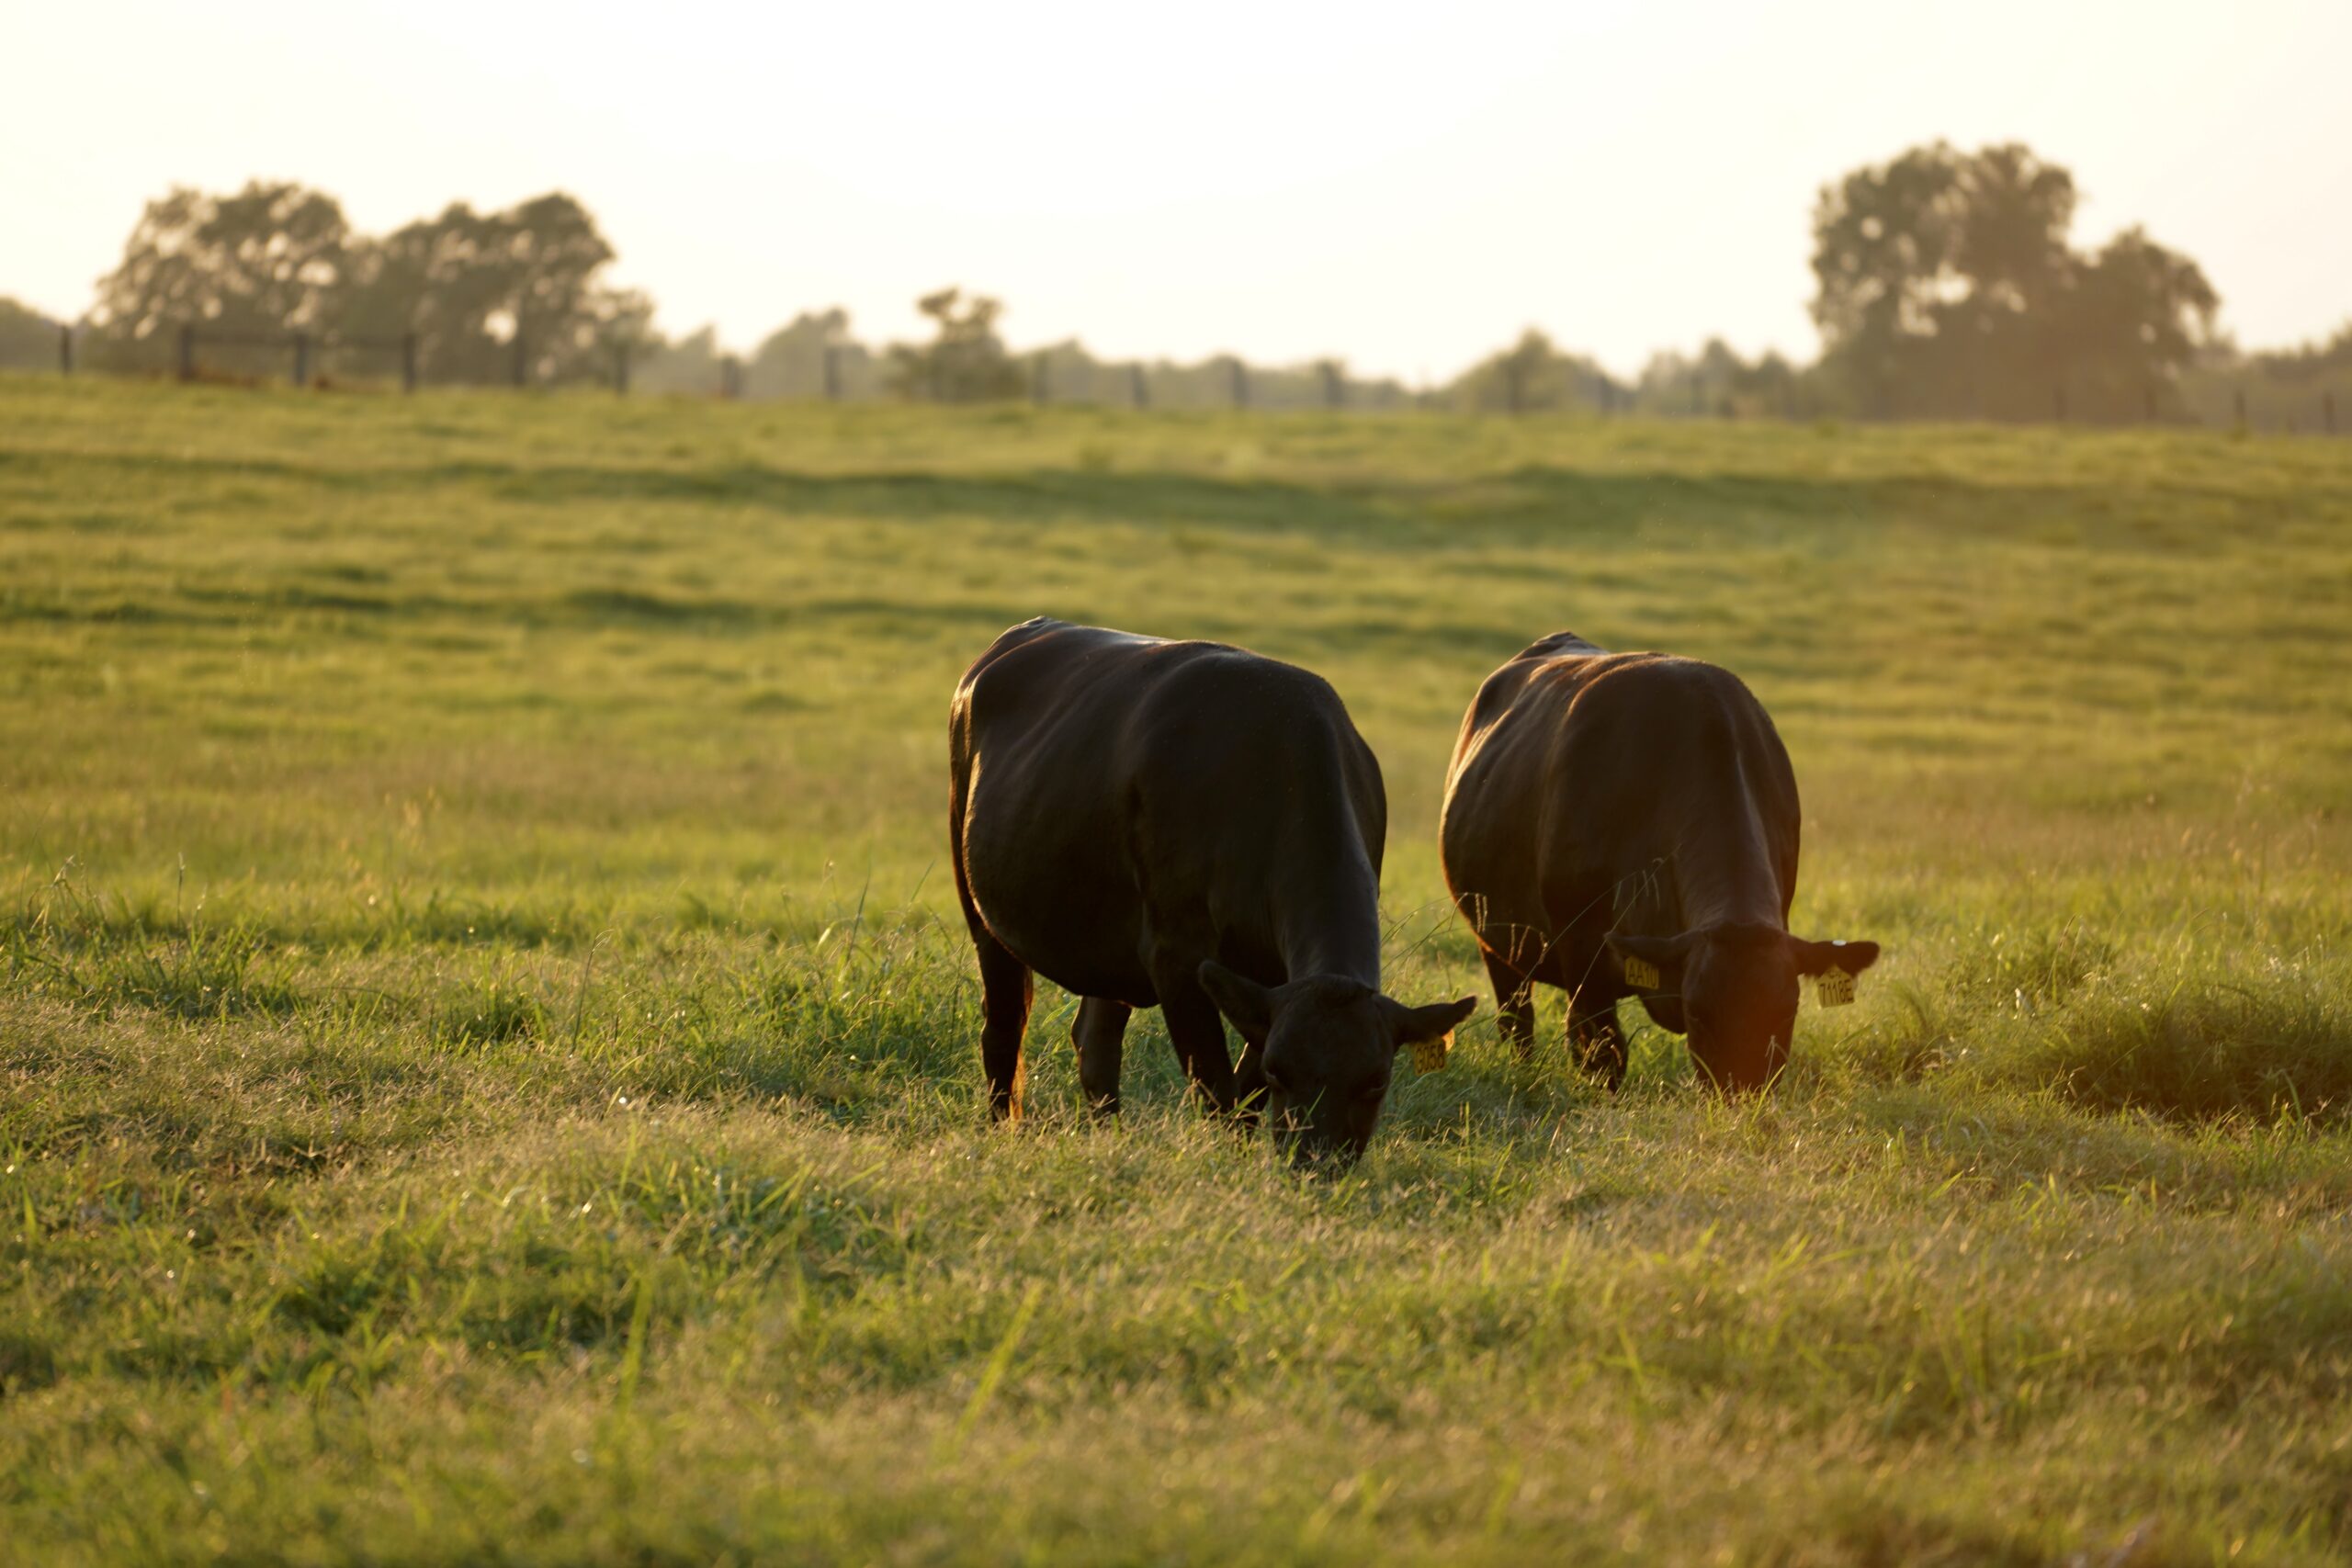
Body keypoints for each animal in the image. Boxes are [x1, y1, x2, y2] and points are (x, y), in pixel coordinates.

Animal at [950, 618, 1475, 1166]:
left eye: (1376, 1081)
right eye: (1282, 1071)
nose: (1315, 1163)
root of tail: (1024, 632)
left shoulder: (1265, 983)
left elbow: (1245, 1093)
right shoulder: (1175, 953)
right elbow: (1216, 1088)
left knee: (1095, 1039)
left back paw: (1108, 1136)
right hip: (979, 904)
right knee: (1004, 1025)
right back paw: (1003, 1132)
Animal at [1439, 632, 1878, 1090]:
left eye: (1787, 1010)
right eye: (1697, 1012)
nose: (1741, 1097)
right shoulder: (1580, 949)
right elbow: (1604, 1055)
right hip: (1495, 944)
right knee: (1518, 1023)